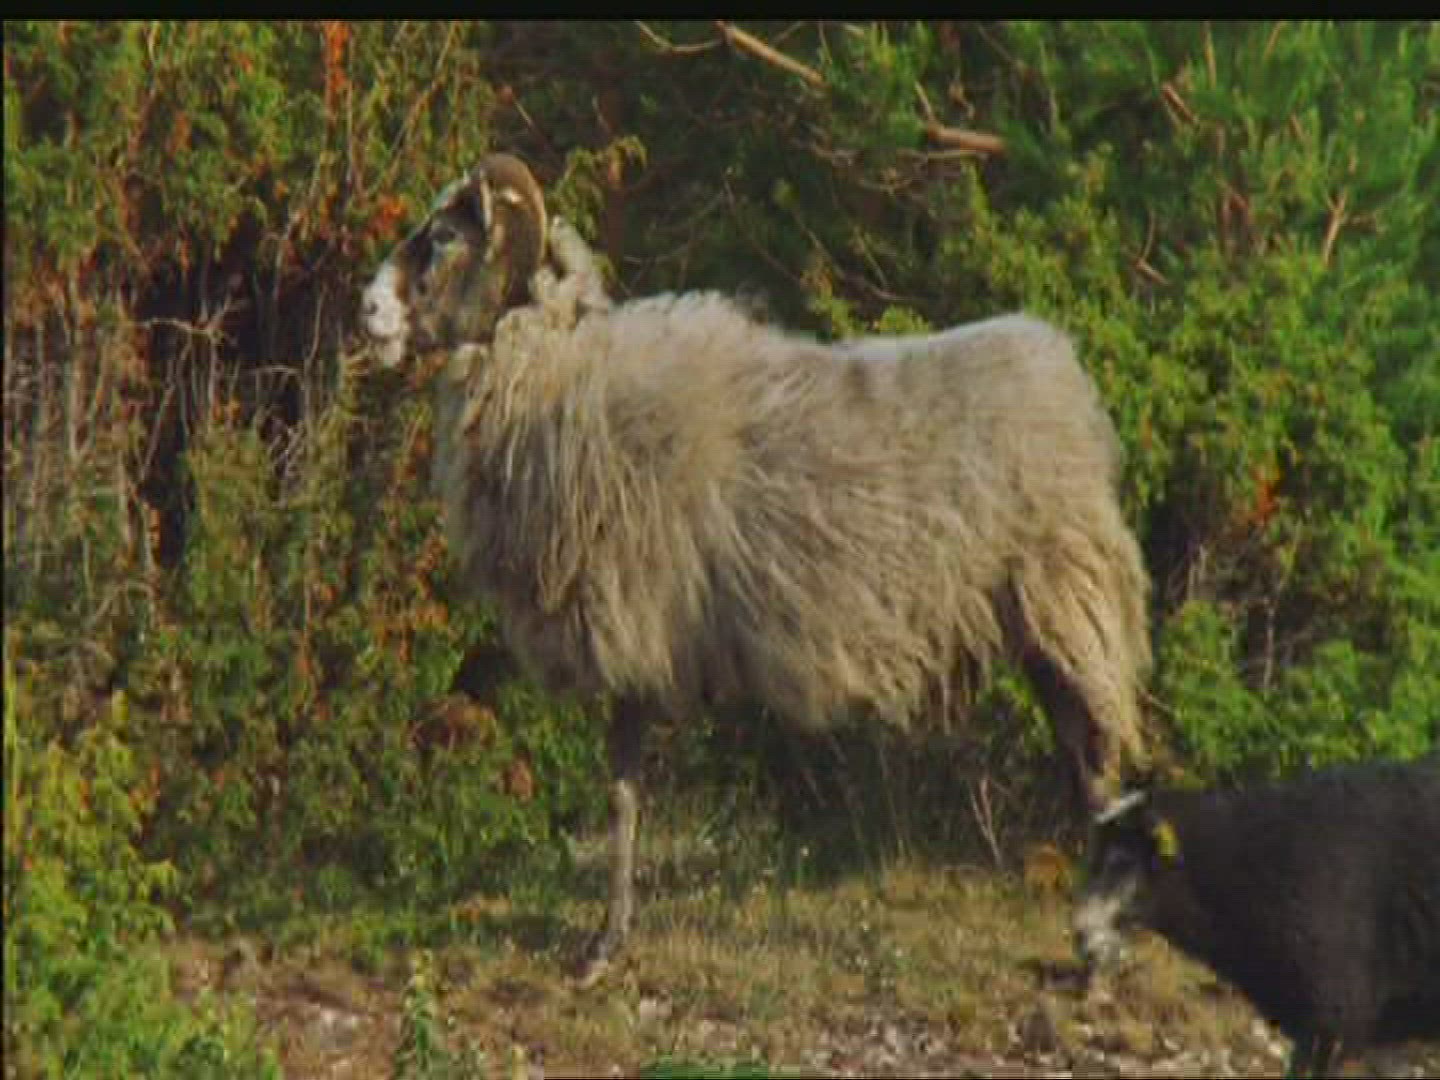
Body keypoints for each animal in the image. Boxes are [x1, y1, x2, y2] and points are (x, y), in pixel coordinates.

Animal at [360, 152, 1153, 982]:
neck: (562, 377)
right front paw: (611, 934)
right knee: (1084, 758)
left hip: (1066, 605)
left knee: (1095, 765)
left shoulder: (631, 622)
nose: (366, 308)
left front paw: (603, 946)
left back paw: (1097, 958)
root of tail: (1059, 370)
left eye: (445, 238)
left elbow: (621, 790)